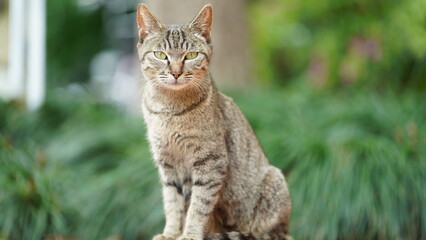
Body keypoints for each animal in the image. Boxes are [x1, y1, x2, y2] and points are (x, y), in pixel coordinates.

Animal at [136, 3, 292, 240]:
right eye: (160, 55)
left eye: (191, 55)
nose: (175, 73)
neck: (169, 109)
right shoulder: (167, 164)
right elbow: (172, 203)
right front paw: (171, 233)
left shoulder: (210, 162)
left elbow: (198, 206)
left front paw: (189, 234)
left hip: (275, 181)